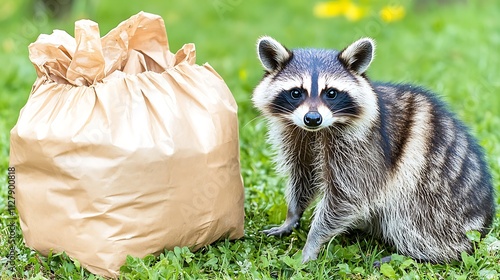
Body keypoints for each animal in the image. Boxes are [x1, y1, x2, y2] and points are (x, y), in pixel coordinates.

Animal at [254, 36, 496, 262]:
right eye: (296, 92)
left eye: (331, 93)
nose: (312, 118)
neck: (318, 130)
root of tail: (481, 228)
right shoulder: (297, 136)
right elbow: (303, 176)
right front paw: (292, 215)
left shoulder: (364, 148)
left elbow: (348, 196)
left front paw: (312, 242)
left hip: (437, 204)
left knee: (409, 217)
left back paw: (420, 255)